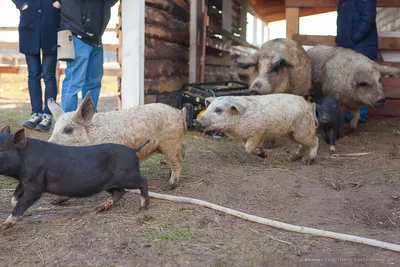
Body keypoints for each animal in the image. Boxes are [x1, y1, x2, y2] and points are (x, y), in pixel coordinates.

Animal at [0, 126, 150, 231]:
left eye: (1, 151)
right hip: (110, 183)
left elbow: (22, 202)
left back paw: (142, 208)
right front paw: (24, 214)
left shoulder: (35, 185)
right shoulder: (24, 181)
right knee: (120, 192)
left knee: (143, 181)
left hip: (128, 176)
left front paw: (4, 226)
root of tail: (133, 150)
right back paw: (99, 208)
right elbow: (14, 198)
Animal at [46, 94, 186, 205]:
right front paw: (55, 202)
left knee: (178, 162)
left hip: (170, 142)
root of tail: (179, 113)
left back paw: (169, 186)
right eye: (54, 129)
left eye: (68, 130)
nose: (49, 145)